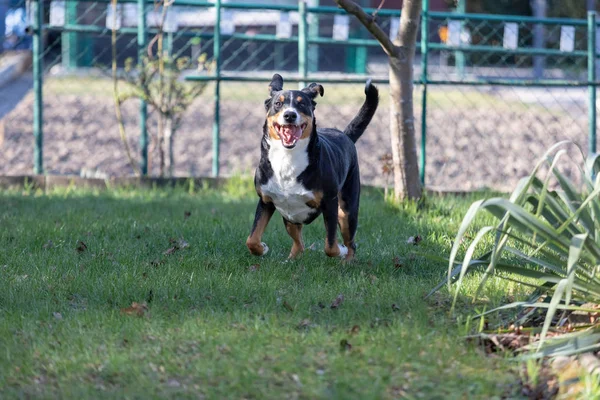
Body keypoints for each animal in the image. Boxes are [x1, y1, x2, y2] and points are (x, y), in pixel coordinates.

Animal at [245, 74, 378, 262]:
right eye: (278, 103)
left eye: (301, 104)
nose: (290, 115)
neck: (287, 158)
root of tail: (345, 135)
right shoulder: (266, 200)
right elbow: (252, 238)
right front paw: (262, 248)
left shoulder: (330, 203)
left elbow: (330, 245)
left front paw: (340, 250)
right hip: (290, 217)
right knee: (298, 244)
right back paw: (290, 261)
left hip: (347, 210)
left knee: (351, 243)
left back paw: (348, 260)